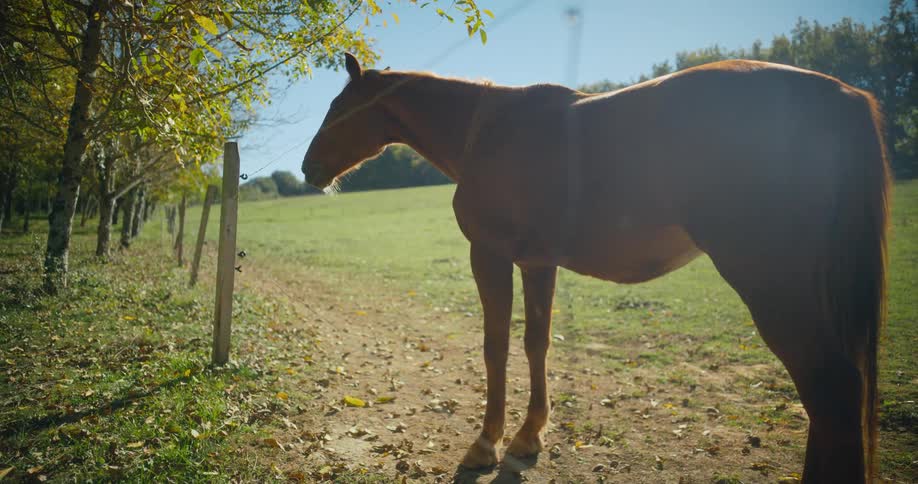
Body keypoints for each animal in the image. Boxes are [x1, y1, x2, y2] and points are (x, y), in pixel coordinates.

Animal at [302, 53, 890, 483]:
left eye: (338, 108)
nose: (308, 168)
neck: (487, 132)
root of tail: (840, 96)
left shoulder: (489, 255)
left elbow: (495, 346)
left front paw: (486, 442)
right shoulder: (537, 262)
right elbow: (535, 343)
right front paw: (528, 436)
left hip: (771, 281)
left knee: (832, 389)